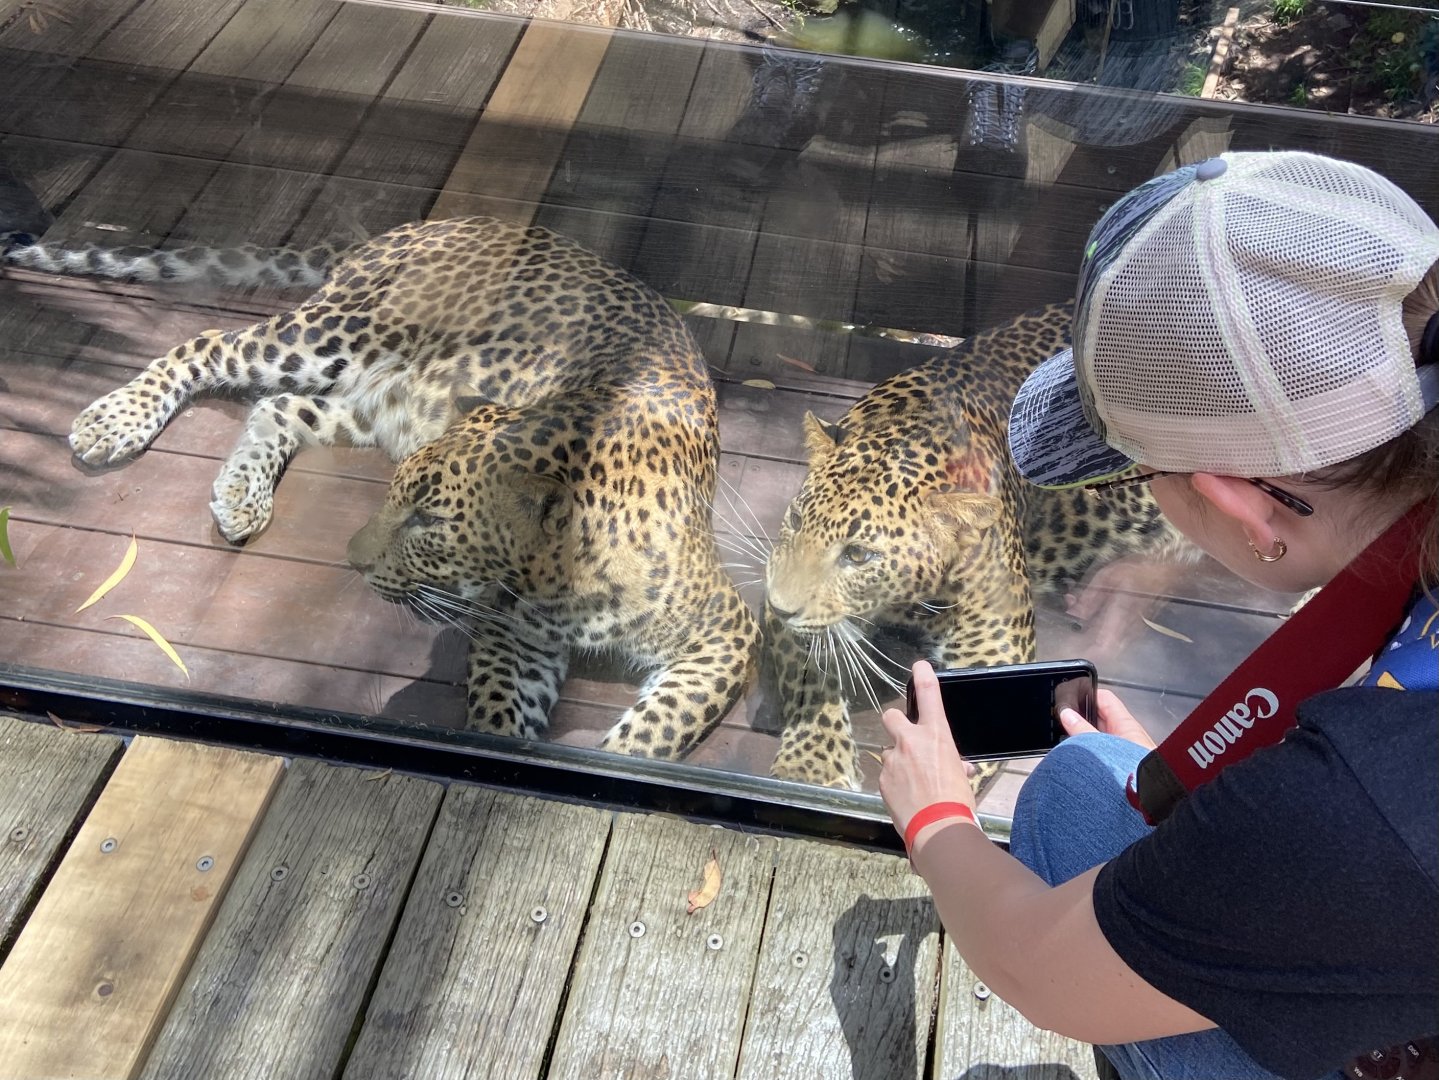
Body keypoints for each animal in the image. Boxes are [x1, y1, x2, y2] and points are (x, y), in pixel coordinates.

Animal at [27, 215, 759, 758]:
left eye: (428, 522)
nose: (351, 562)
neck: (566, 577)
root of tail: (430, 223)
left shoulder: (726, 631)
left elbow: (655, 733)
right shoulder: (510, 637)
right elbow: (500, 718)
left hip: (372, 403)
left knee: (276, 406)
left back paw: (240, 495)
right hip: (335, 336)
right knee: (207, 342)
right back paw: (114, 421)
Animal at [762, 302, 1192, 789]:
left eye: (858, 555)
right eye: (797, 521)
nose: (780, 605)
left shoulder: (994, 645)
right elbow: (808, 673)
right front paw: (812, 763)